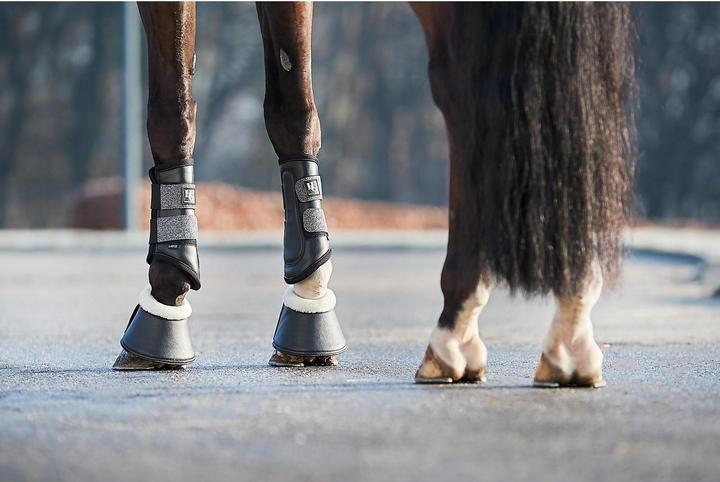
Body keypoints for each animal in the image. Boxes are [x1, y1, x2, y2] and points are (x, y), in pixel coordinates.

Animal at [114, 2, 636, 388]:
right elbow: (292, 104)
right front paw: (310, 297)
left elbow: (173, 105)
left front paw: (166, 295)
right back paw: (566, 334)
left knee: (467, 92)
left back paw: (453, 333)